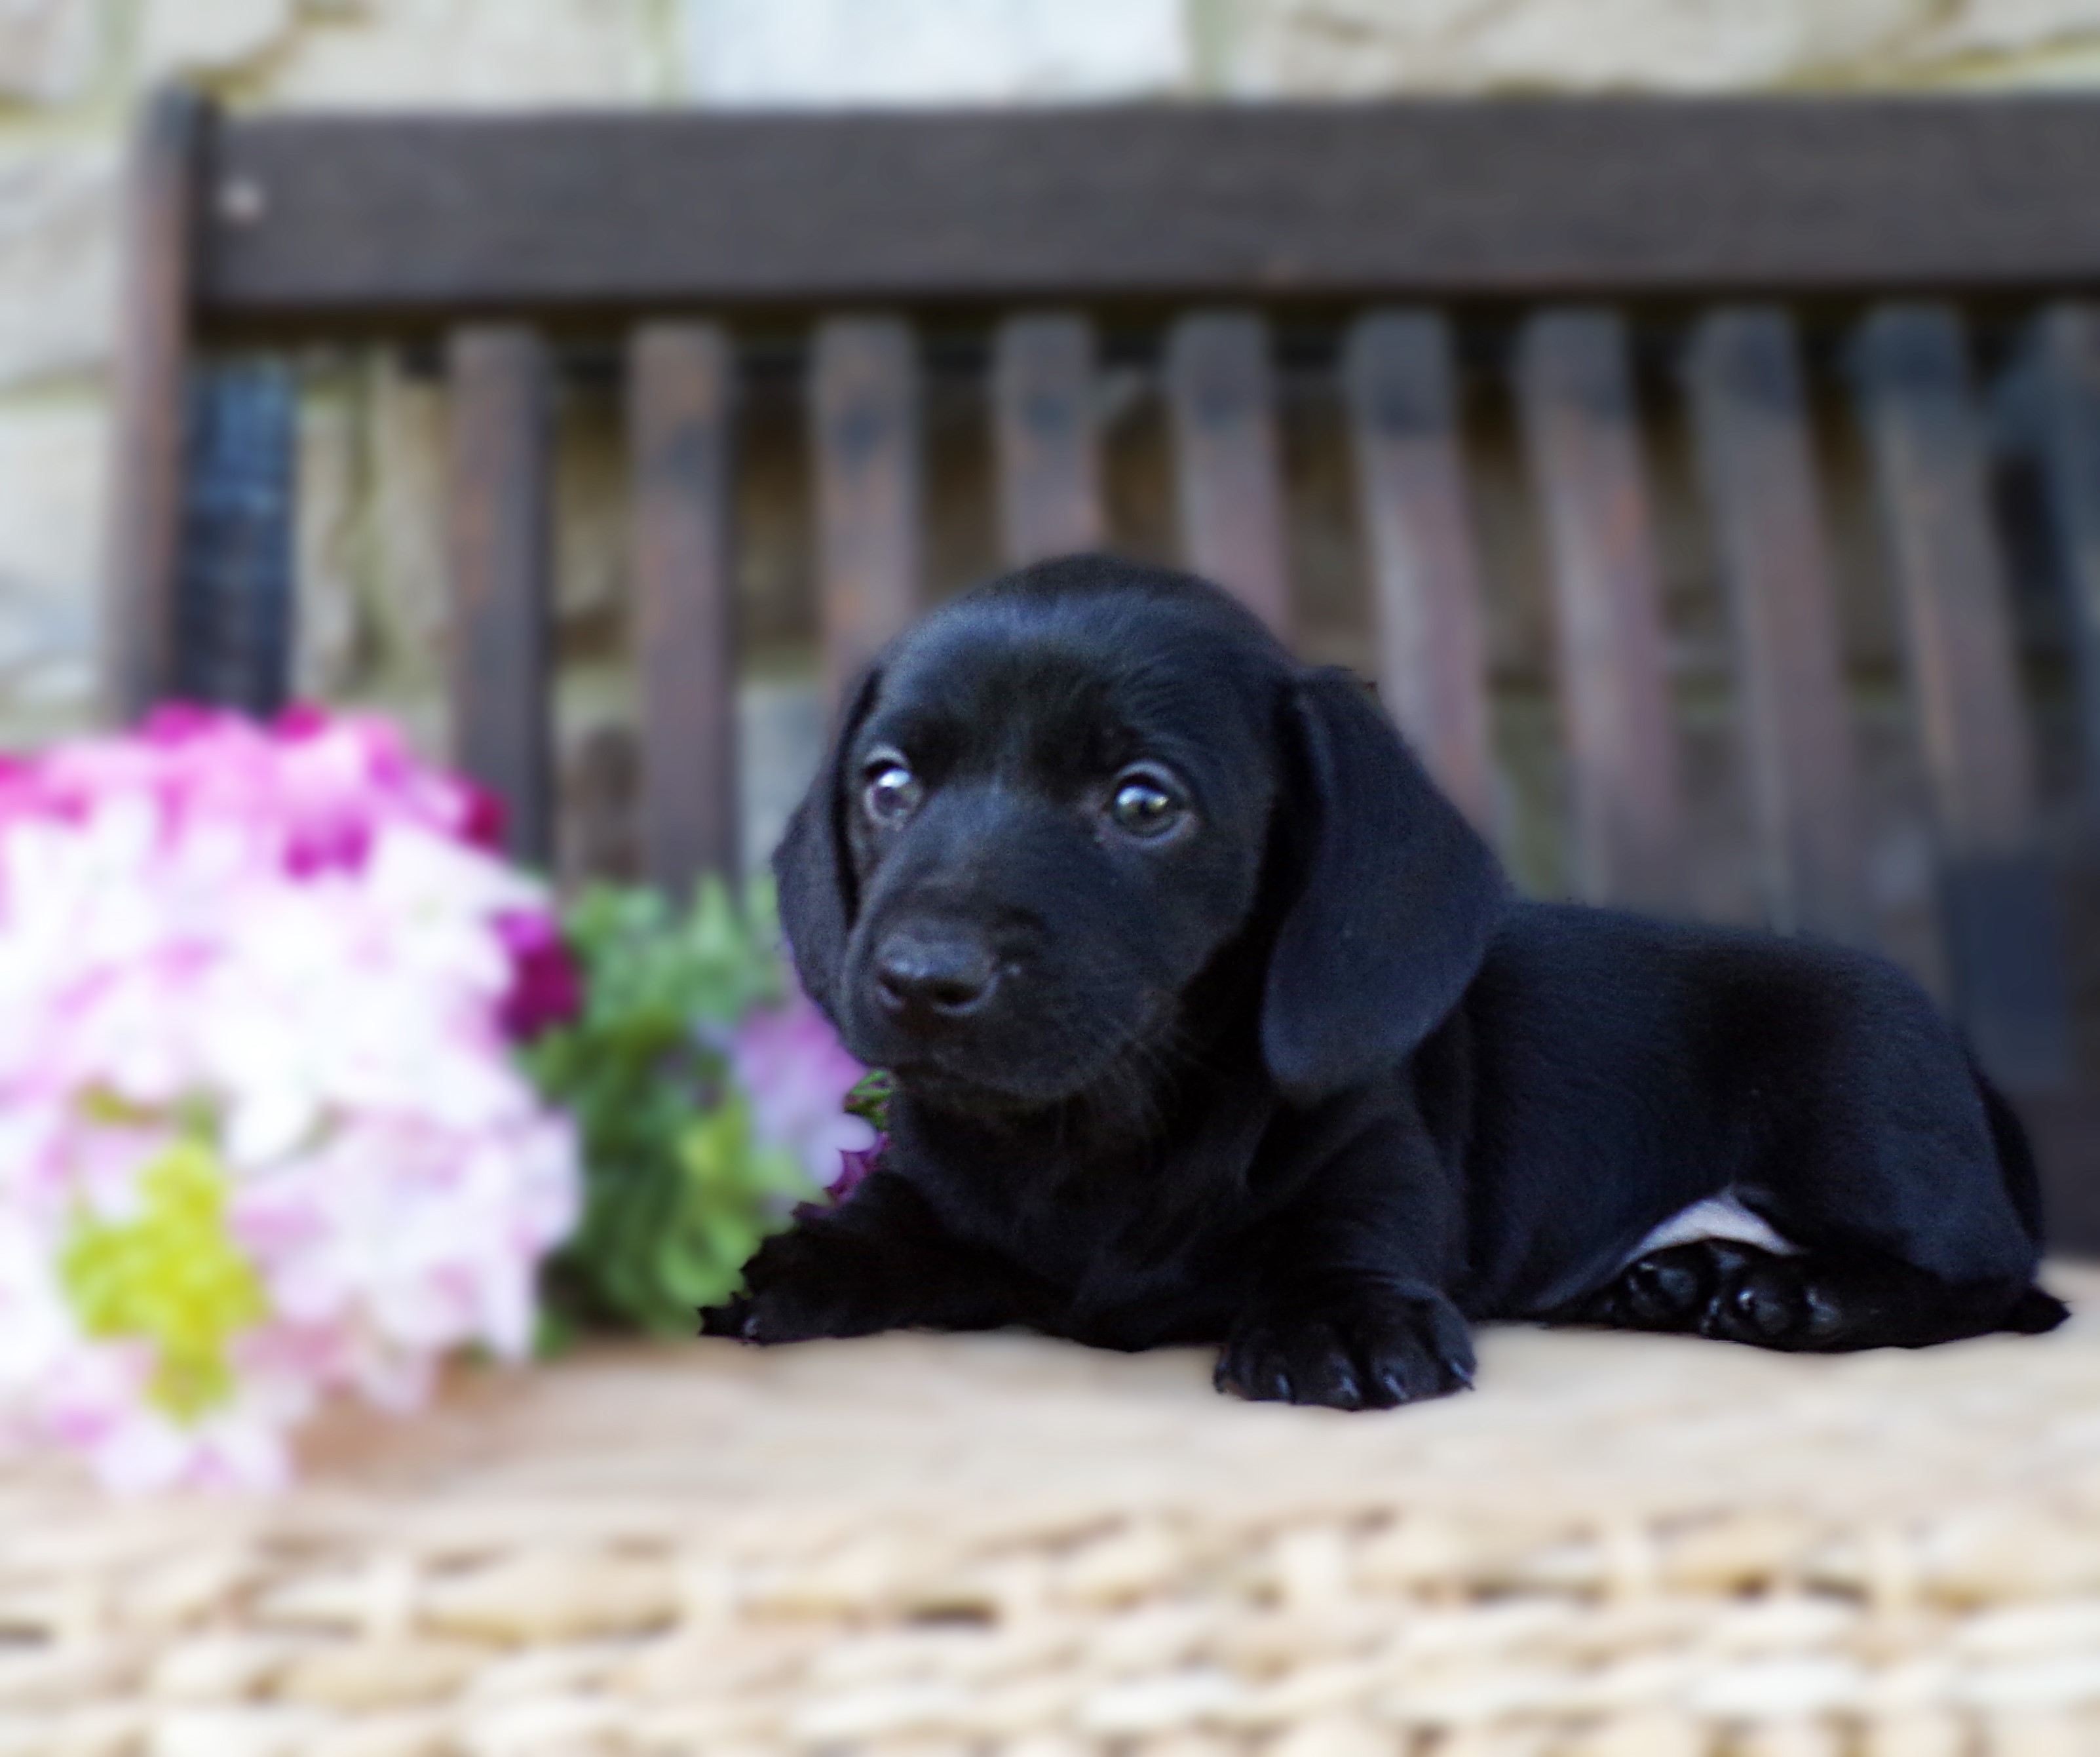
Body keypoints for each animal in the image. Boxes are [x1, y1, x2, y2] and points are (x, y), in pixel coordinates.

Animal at [705, 554, 2066, 1402]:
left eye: (1144, 803)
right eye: (889, 784)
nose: (920, 977)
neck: (1097, 1132)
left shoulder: (1377, 1164)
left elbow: (1344, 1235)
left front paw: (1336, 1321)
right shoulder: (936, 1191)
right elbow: (880, 1225)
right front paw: (781, 1272)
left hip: (1858, 1094)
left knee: (2000, 1282)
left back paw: (1797, 1297)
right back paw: (1693, 1278)